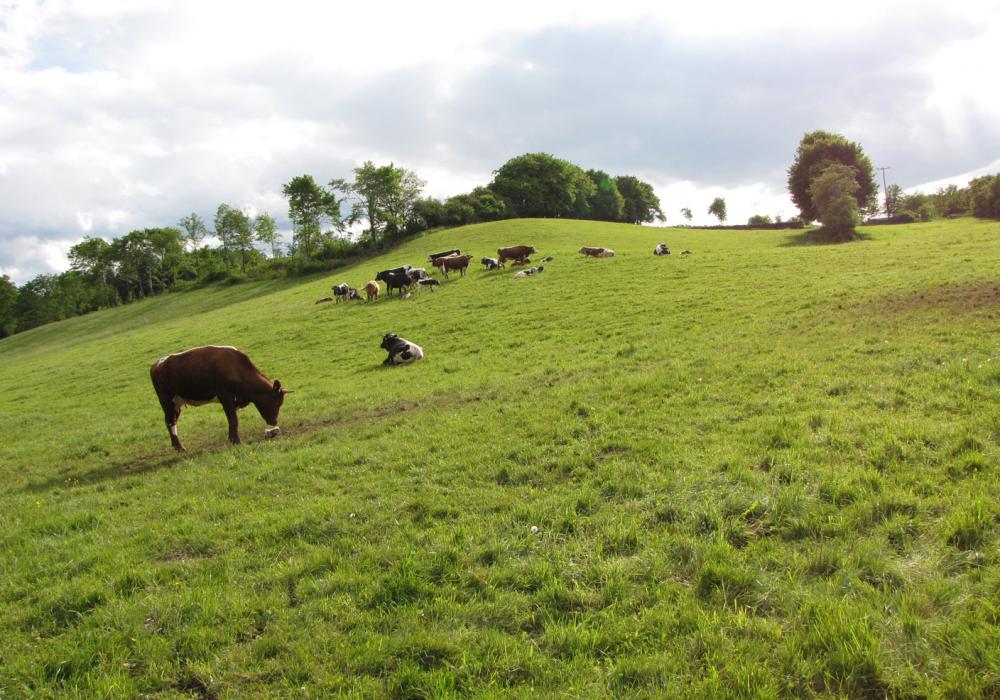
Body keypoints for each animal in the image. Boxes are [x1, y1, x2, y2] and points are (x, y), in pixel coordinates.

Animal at [149, 346, 290, 454]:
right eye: (276, 402)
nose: (274, 421)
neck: (237, 368)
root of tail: (157, 364)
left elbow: (232, 419)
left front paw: (232, 438)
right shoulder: (225, 396)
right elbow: (233, 419)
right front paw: (236, 441)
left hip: (177, 403)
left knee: (171, 421)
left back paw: (176, 446)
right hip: (167, 401)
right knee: (170, 421)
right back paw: (180, 447)